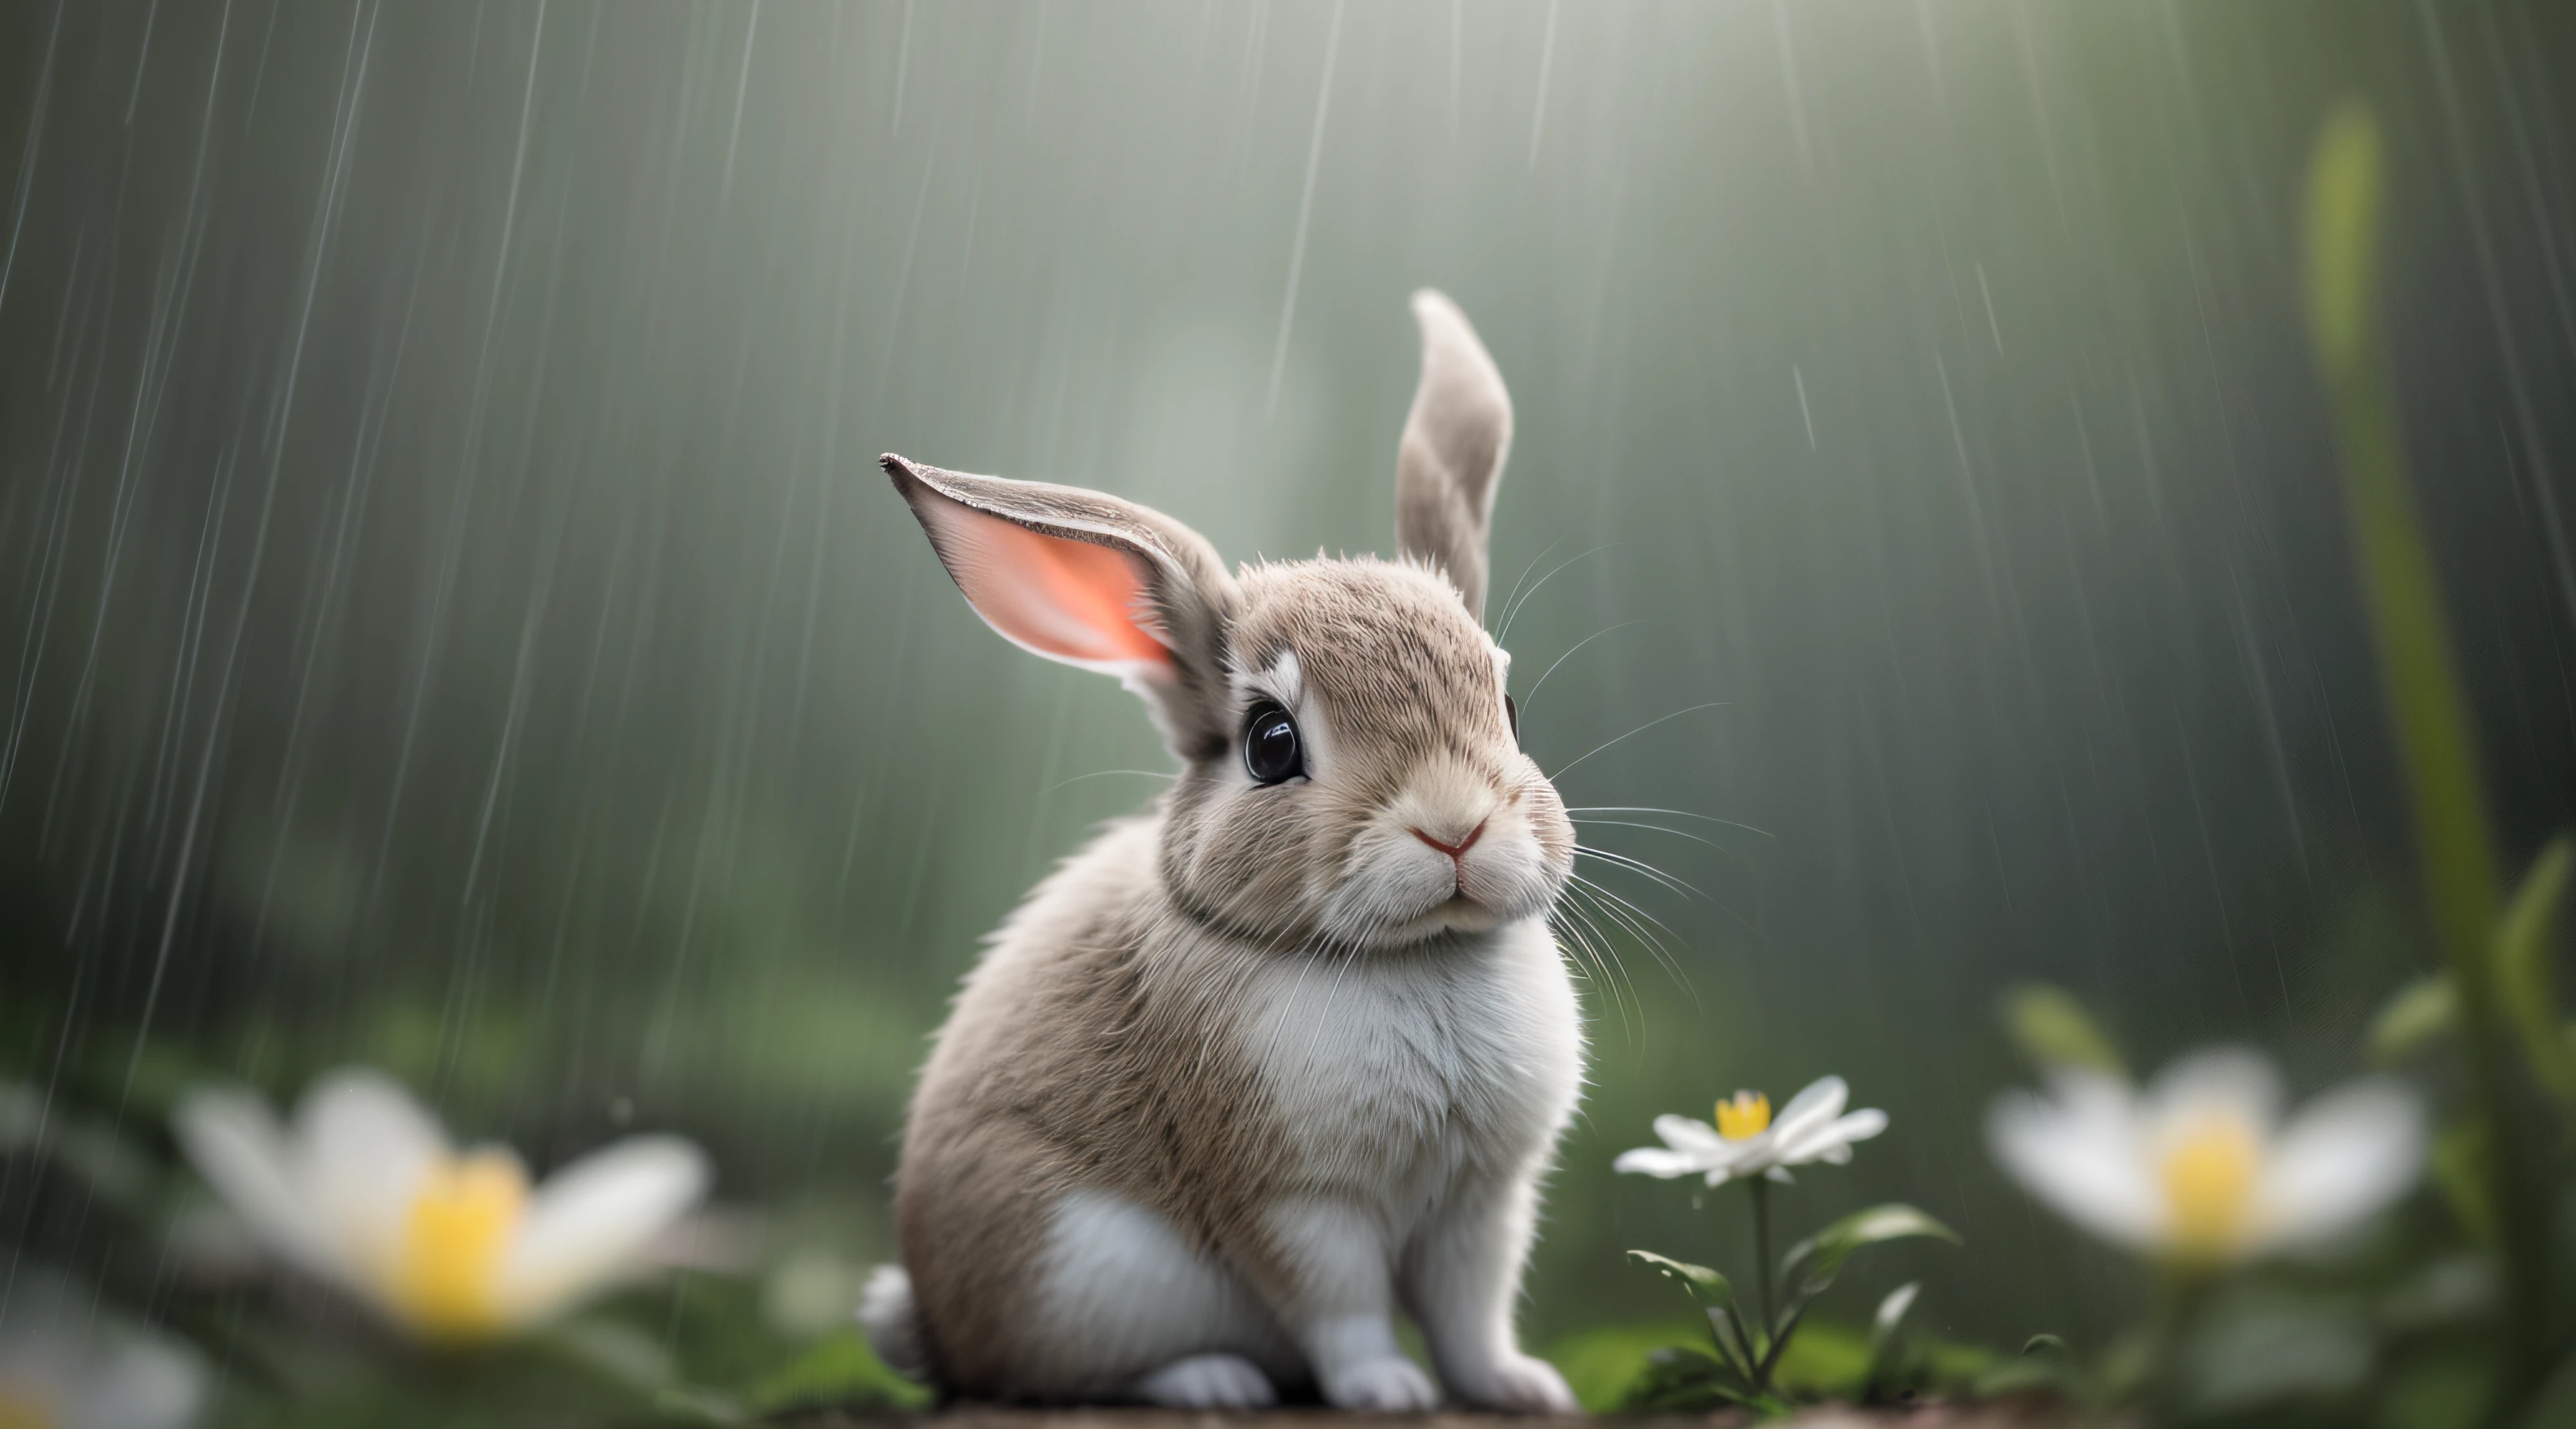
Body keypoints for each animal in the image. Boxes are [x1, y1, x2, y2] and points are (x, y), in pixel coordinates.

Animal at [865, 293, 1576, 1421]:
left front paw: (1518, 1385)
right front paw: (1388, 1390)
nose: (1455, 827)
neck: (1416, 955)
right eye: (1271, 743)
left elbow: (1472, 1312)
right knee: (1046, 1373)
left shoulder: (1480, 1201)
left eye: (1507, 704)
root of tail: (934, 1322)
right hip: (1091, 1268)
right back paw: (1214, 1377)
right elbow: (1343, 1309)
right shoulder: (1294, 1201)